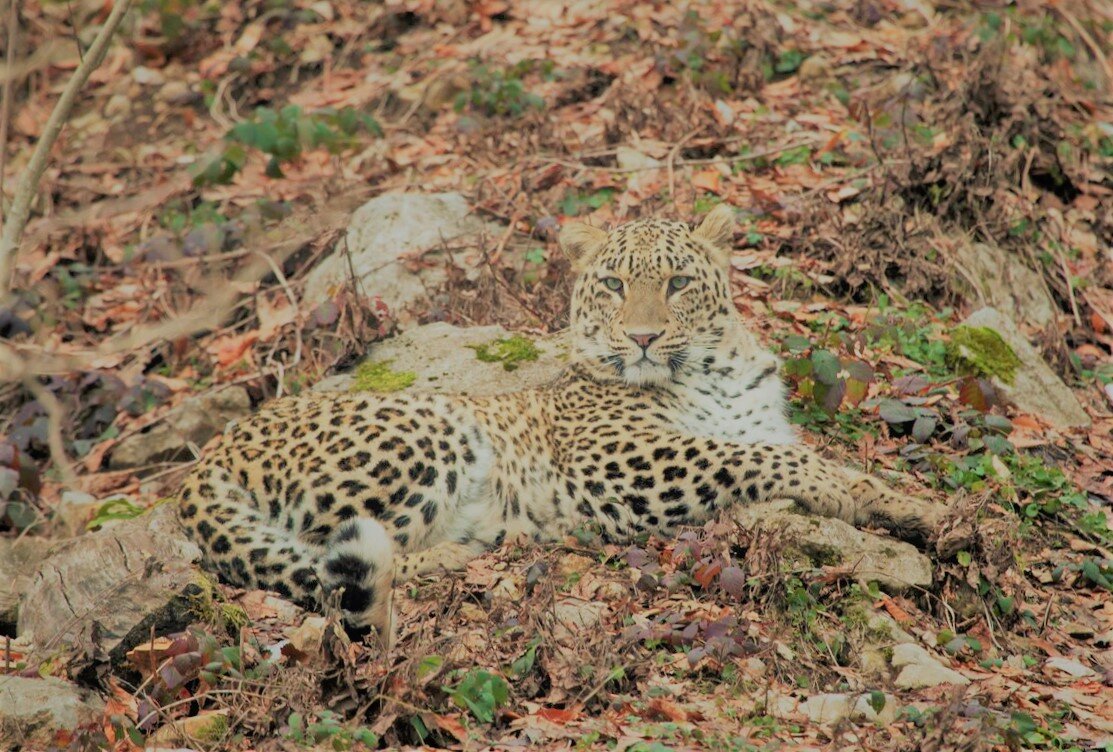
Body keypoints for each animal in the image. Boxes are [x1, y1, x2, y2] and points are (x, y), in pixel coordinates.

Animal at [178, 204, 943, 640]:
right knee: (336, 566)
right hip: (432, 428)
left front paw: (906, 502)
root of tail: (205, 459)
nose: (641, 338)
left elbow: (778, 451)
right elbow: (764, 458)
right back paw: (462, 555)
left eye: (677, 283)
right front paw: (863, 494)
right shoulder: (611, 459)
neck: (716, 368)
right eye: (612, 284)